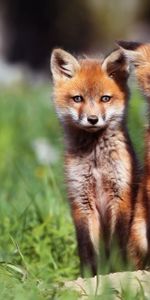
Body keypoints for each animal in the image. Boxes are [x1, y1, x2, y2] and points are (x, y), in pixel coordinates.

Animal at [50, 48, 139, 276]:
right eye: (78, 98)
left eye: (105, 98)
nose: (92, 119)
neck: (96, 160)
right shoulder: (81, 200)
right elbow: (87, 247)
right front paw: (90, 276)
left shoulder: (121, 196)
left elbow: (117, 243)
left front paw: (117, 272)